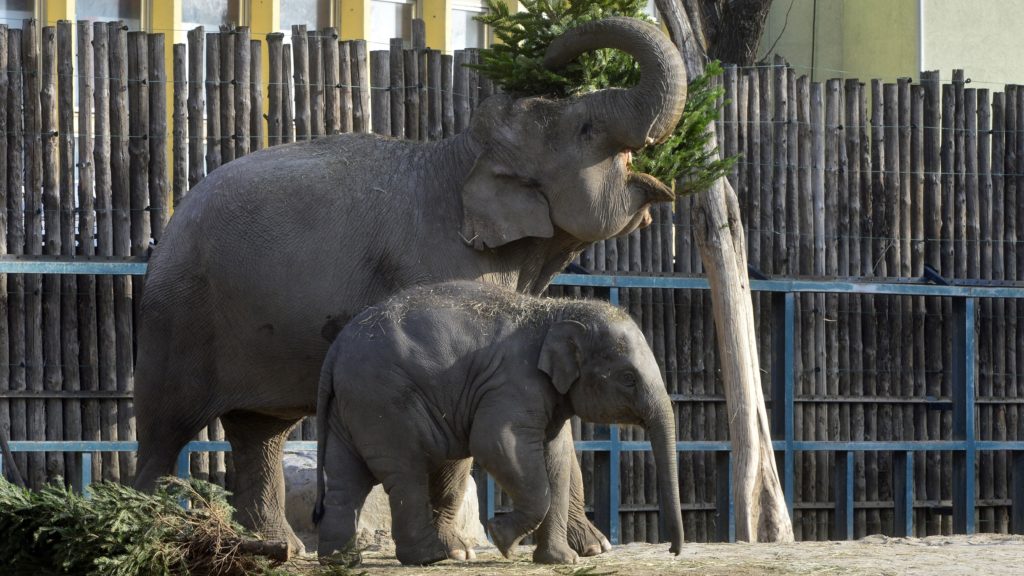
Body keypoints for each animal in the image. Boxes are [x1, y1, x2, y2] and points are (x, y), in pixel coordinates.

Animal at [311, 280, 679, 561]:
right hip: (384, 403)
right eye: (628, 378)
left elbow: (556, 459)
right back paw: (432, 558)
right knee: (406, 472)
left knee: (345, 478)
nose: (674, 551)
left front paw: (560, 560)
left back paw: (340, 560)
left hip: (350, 406)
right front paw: (501, 538)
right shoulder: (513, 383)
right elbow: (495, 443)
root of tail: (336, 349)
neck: (554, 311)